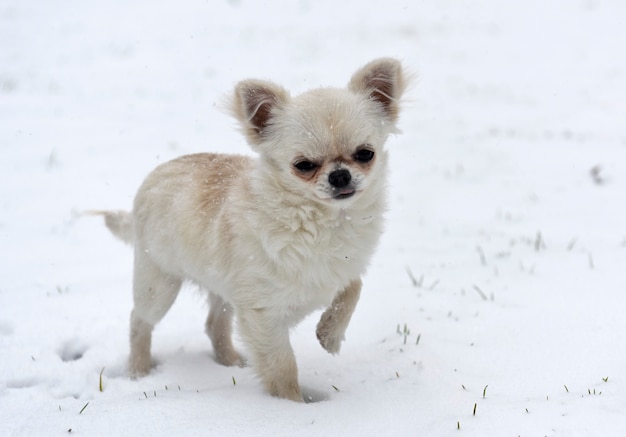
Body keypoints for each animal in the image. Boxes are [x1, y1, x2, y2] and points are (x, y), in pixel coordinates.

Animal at [97, 58, 404, 402]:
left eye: (365, 154)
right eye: (304, 165)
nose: (340, 176)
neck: (323, 222)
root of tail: (154, 176)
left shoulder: (340, 269)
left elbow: (353, 287)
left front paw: (330, 335)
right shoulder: (262, 314)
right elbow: (282, 367)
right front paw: (291, 405)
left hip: (221, 289)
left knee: (214, 323)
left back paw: (229, 361)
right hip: (159, 283)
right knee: (140, 321)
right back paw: (139, 370)